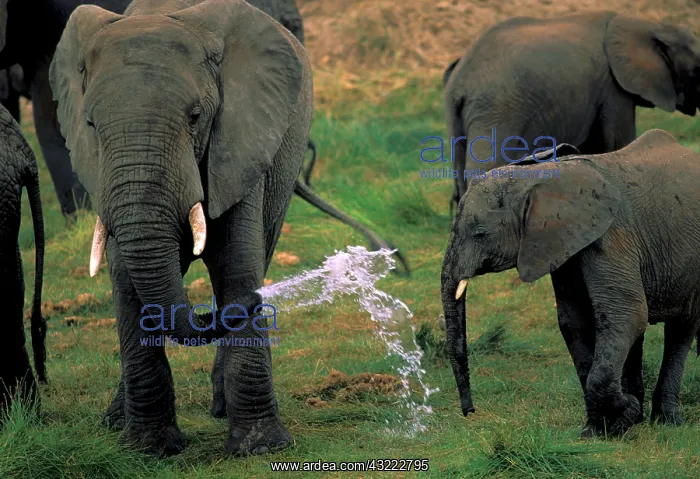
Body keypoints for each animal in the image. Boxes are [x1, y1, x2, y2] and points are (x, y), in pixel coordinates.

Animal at [441, 130, 700, 437]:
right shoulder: (563, 245)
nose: (470, 412)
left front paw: (622, 416)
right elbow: (575, 322)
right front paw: (598, 430)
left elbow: (626, 315)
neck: (545, 177)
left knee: (679, 329)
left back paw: (666, 420)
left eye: (480, 234)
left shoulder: (611, 235)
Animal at [442, 11, 700, 214]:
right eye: (698, 68)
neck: (648, 24)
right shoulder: (613, 88)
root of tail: (460, 80)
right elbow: (615, 143)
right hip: (497, 108)